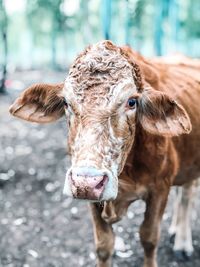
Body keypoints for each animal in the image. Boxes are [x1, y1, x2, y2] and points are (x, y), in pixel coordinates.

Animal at [9, 41, 200, 267]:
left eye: (131, 102)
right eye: (65, 103)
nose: (87, 182)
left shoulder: (160, 187)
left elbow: (149, 238)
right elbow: (104, 244)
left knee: (187, 194)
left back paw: (182, 243)